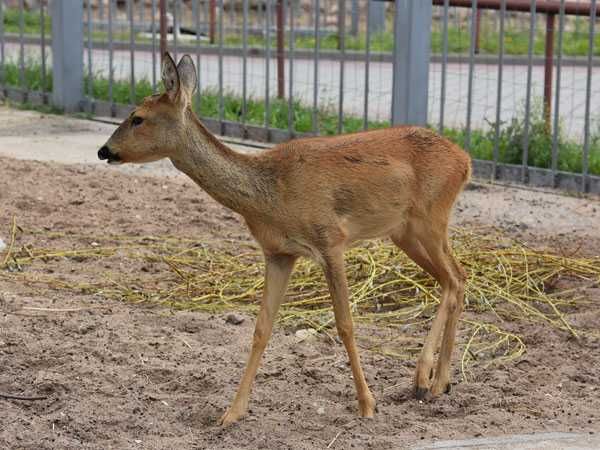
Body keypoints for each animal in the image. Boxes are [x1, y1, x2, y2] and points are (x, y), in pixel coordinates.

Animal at [98, 53, 472, 426]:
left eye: (137, 117)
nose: (104, 150)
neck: (270, 195)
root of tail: (465, 161)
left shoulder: (330, 239)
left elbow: (345, 324)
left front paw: (367, 405)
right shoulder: (278, 253)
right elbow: (261, 328)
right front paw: (232, 412)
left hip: (430, 217)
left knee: (455, 277)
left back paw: (428, 379)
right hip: (403, 231)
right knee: (454, 279)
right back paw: (437, 381)